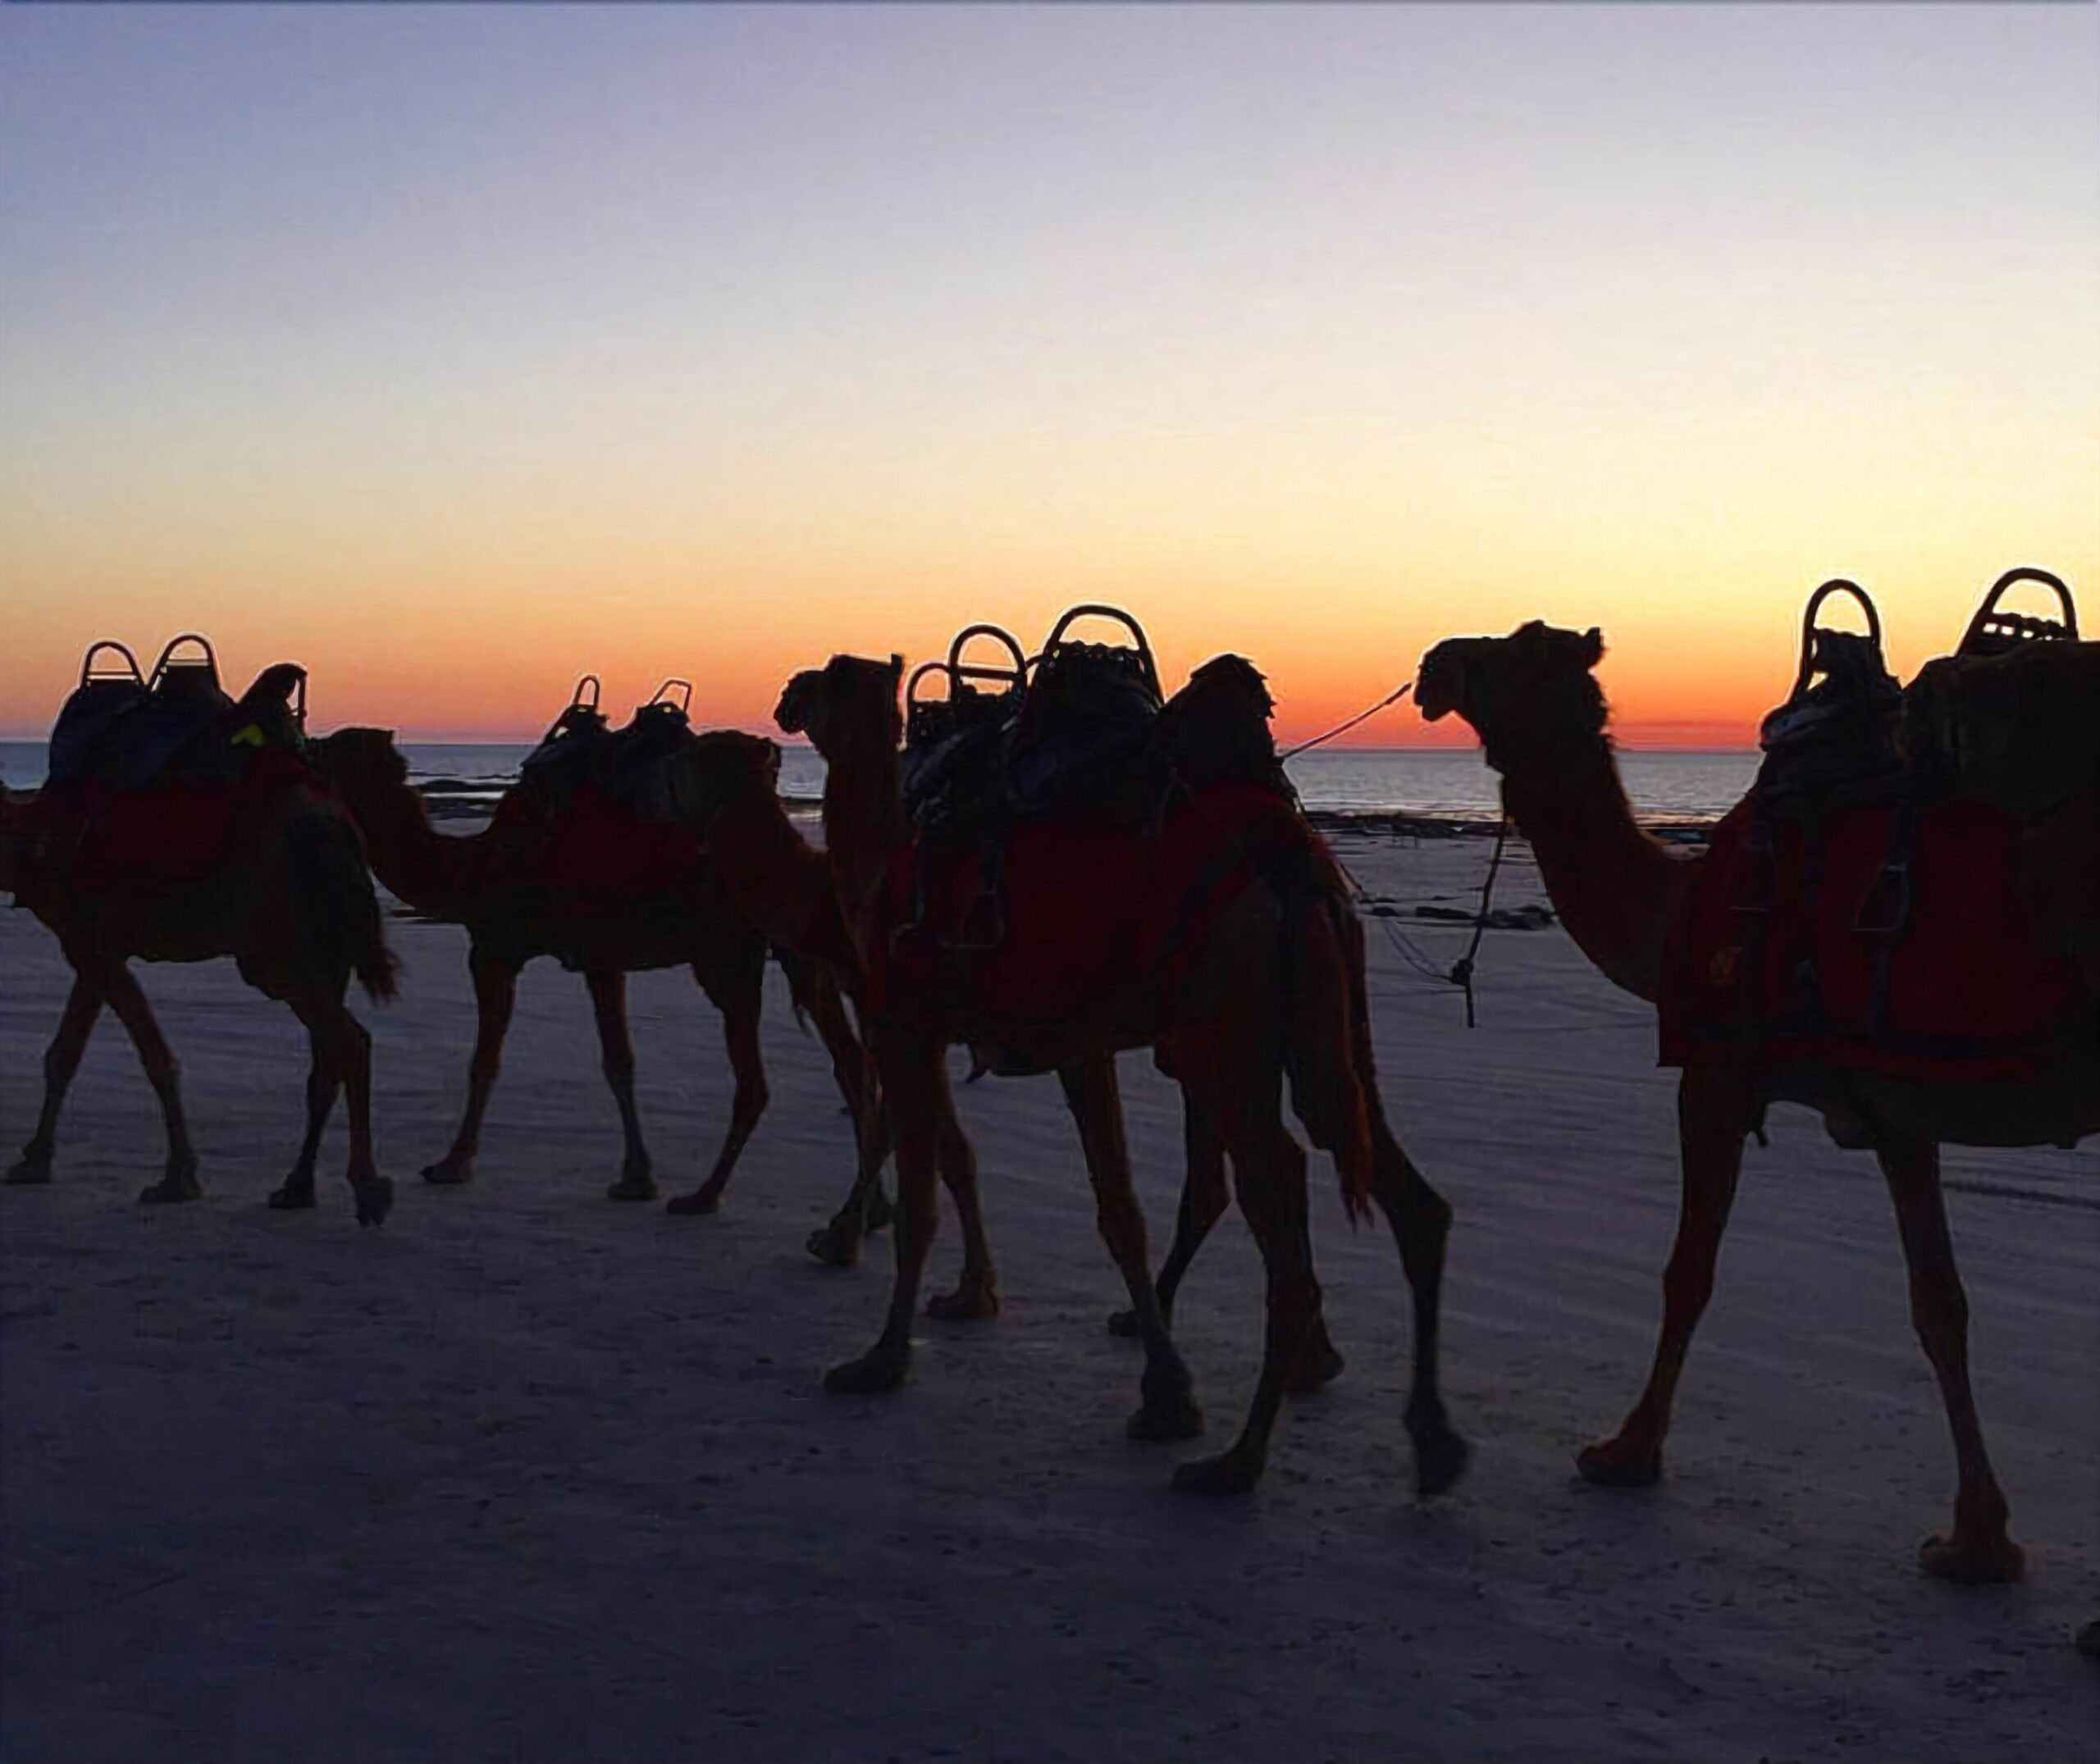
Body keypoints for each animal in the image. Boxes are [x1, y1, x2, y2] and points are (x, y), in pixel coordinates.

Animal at [2, 697, 396, 1218]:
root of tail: (332, 824)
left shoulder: (91, 943)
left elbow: (155, 1057)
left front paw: (177, 1179)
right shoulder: (93, 945)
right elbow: (64, 1053)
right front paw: (32, 1161)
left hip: (277, 947)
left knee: (346, 1040)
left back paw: (368, 1187)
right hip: (322, 945)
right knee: (330, 1055)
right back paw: (296, 1187)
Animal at [304, 722, 878, 1218]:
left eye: (331, 749)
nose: (303, 747)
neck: (474, 866)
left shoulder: (500, 949)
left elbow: (493, 1060)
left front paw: (452, 1163)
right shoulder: (600, 957)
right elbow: (616, 1060)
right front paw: (636, 1176)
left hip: (727, 954)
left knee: (759, 1079)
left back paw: (706, 1196)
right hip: (798, 948)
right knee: (850, 1062)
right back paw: (863, 1214)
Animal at [680, 654, 1470, 1495]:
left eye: (826, 677)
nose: (783, 702)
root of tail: (1290, 860)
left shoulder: (906, 1022)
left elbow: (924, 1178)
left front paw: (877, 1349)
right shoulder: (1060, 1043)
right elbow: (1095, 1199)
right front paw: (1146, 1384)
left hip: (1225, 1022)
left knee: (1277, 1187)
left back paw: (1237, 1460)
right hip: (1323, 1026)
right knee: (1394, 1185)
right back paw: (1428, 1440)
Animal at [1419, 621, 2091, 1587]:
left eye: (1505, 651)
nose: (1431, 664)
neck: (1676, 909)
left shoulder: (1715, 1070)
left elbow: (1688, 1270)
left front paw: (1625, 1451)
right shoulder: (1893, 1108)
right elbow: (1940, 1305)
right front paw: (1978, 1540)